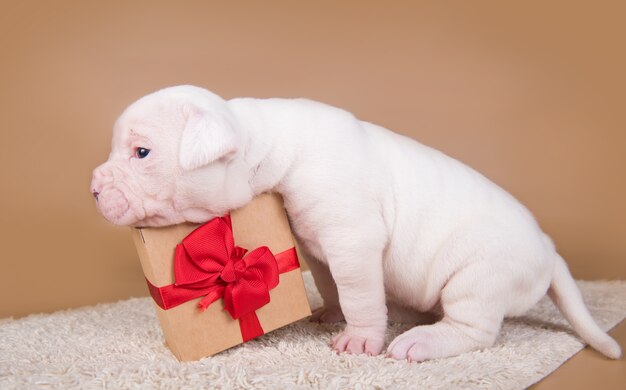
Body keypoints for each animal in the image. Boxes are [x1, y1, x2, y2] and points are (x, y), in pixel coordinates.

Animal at [91, 84, 620, 360]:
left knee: (475, 329)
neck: (263, 142)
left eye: (142, 153)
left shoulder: (352, 240)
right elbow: (333, 285)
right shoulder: (318, 246)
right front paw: (331, 311)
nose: (93, 188)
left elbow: (360, 293)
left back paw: (421, 341)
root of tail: (549, 251)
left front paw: (361, 337)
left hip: (480, 278)